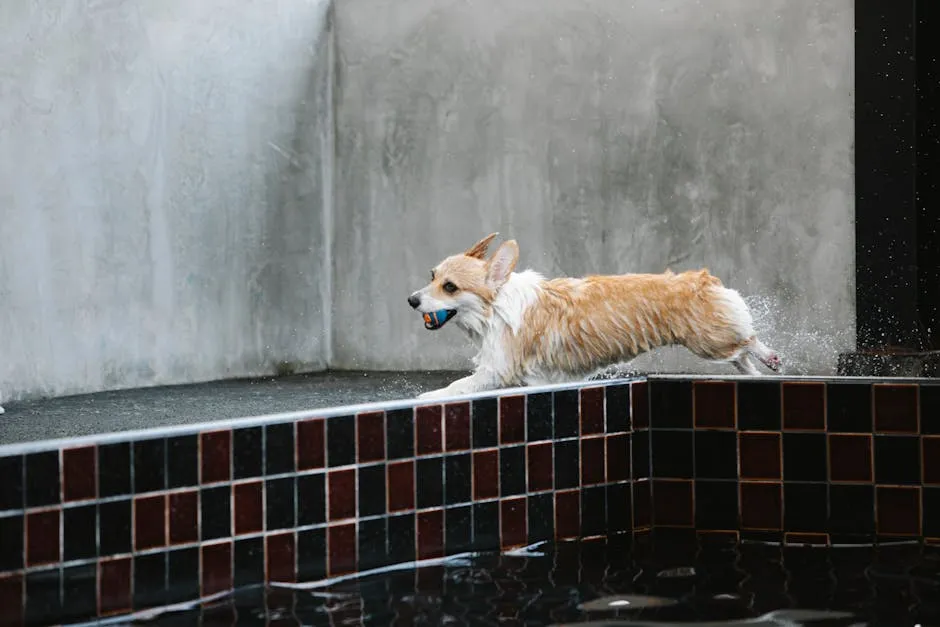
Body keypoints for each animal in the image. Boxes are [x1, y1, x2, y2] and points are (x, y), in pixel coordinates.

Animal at [408, 233, 784, 400]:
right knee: (740, 355)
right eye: (431, 276)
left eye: (450, 287)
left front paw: (427, 397)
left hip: (708, 339)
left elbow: (457, 386)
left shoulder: (496, 369)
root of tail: (706, 279)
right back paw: (755, 375)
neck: (497, 306)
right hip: (713, 341)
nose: (411, 300)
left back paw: (770, 358)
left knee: (748, 341)